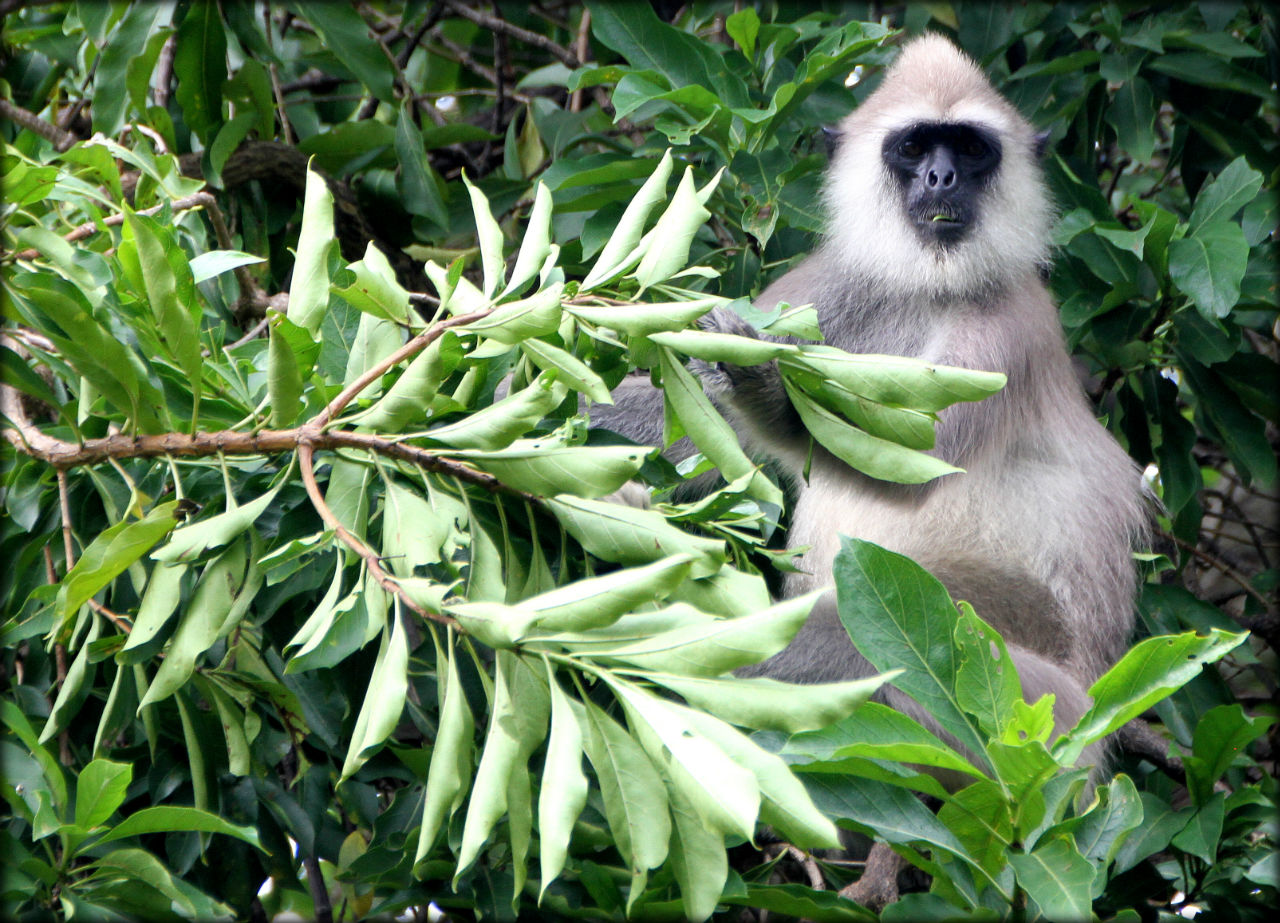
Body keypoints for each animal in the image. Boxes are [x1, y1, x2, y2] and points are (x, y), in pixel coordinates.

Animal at [588, 34, 1152, 757]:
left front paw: (764, 390)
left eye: (969, 149)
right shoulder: (833, 286)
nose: (941, 179)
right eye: (913, 147)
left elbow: (917, 466)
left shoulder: (1009, 323)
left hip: (1030, 712)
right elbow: (697, 418)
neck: (927, 288)